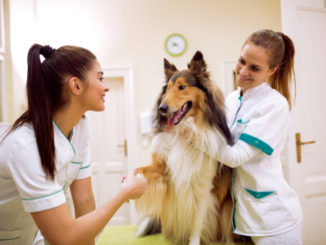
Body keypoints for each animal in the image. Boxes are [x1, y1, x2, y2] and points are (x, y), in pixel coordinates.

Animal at [136, 50, 236, 244]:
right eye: (167, 89)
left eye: (182, 87)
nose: (162, 108)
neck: (183, 129)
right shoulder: (163, 168)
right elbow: (141, 170)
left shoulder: (203, 186)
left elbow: (196, 224)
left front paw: (193, 241)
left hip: (228, 207)